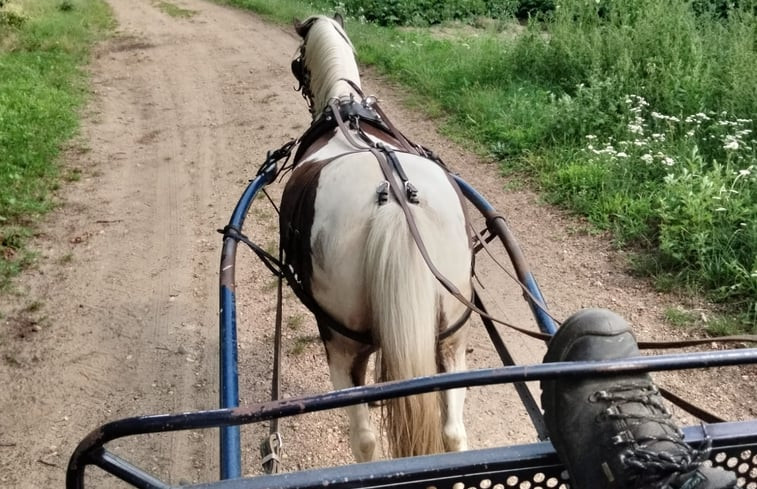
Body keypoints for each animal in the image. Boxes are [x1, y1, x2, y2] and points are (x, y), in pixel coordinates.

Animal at [278, 13, 472, 460]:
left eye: (297, 63)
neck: (345, 111)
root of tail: (395, 201)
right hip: (452, 337)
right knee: (454, 431)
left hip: (342, 342)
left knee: (363, 438)